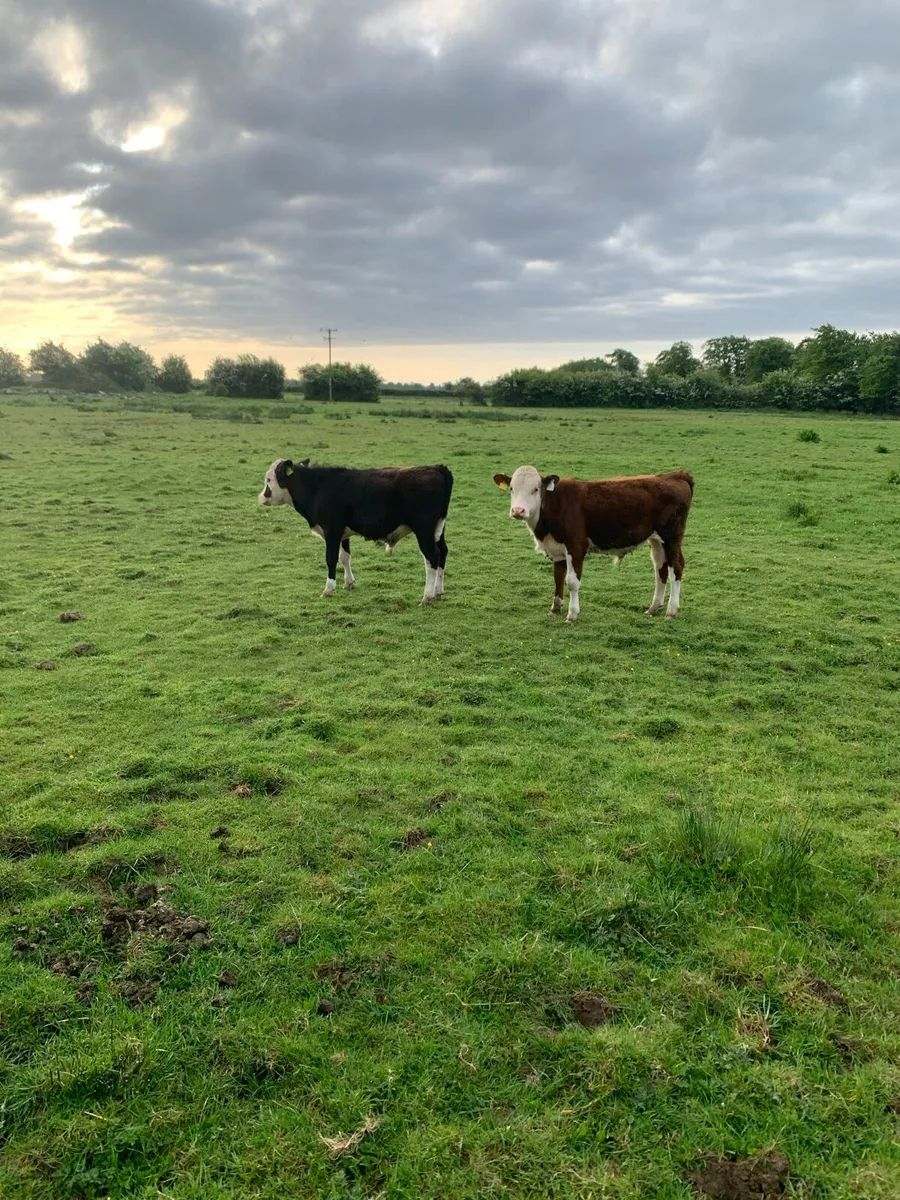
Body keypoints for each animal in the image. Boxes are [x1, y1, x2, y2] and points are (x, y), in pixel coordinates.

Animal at [259, 458, 453, 604]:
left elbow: (331, 559)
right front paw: (349, 583)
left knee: (432, 557)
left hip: (424, 531)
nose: (260, 497)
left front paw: (328, 589)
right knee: (442, 553)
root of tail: (436, 468)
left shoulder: (332, 531)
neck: (317, 487)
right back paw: (438, 591)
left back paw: (427, 596)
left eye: (268, 480)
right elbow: (344, 557)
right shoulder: (343, 533)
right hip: (438, 531)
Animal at [493, 465, 694, 622]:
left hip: (671, 537)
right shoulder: (557, 548)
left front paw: (572, 614)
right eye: (511, 488)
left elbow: (572, 581)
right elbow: (558, 577)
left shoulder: (576, 547)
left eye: (535, 489)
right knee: (660, 569)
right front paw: (555, 608)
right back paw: (653, 608)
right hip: (657, 540)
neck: (555, 505)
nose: (518, 510)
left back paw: (671, 610)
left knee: (675, 568)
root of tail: (675, 475)